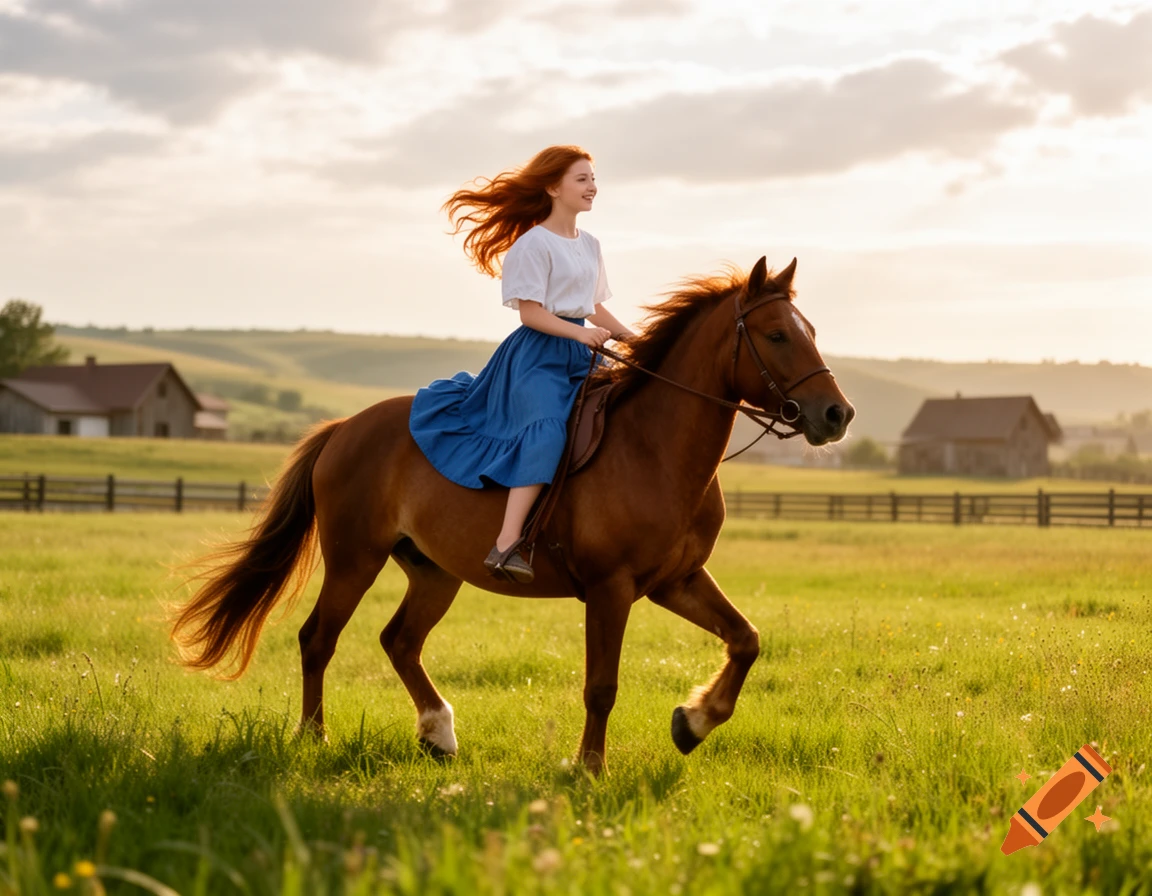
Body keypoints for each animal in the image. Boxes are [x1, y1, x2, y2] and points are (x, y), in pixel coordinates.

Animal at [170, 256, 854, 775]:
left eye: (812, 329)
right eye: (776, 335)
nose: (836, 415)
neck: (654, 449)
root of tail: (345, 428)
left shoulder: (675, 582)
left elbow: (746, 639)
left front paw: (692, 722)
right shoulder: (611, 589)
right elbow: (602, 686)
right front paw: (589, 768)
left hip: (434, 572)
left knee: (399, 641)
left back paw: (438, 733)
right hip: (353, 560)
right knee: (319, 639)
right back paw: (315, 738)